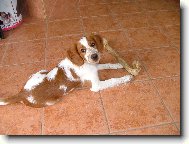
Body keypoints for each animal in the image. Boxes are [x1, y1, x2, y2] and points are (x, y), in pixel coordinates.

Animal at [0, 34, 133, 107]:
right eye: (82, 50)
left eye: (93, 44)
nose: (94, 56)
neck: (84, 63)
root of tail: (21, 93)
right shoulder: (96, 85)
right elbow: (113, 80)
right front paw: (127, 77)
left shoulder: (95, 66)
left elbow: (108, 64)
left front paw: (119, 64)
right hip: (52, 101)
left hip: (40, 71)